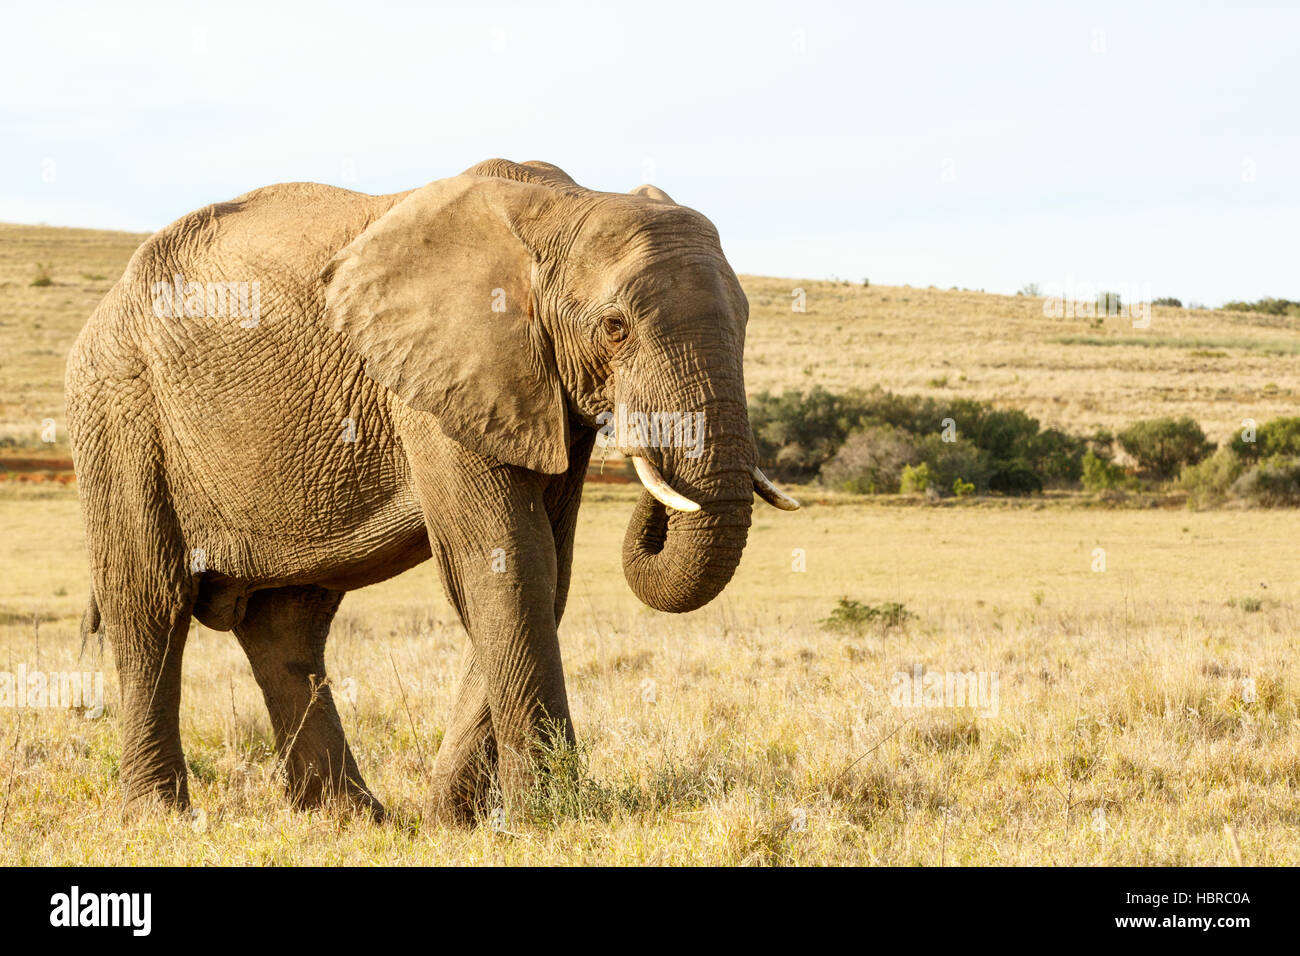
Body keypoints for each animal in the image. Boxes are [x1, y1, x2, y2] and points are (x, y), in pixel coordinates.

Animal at [65, 158, 799, 823]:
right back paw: (160, 818)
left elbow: (543, 571)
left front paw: (458, 817)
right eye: (615, 326)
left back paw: (351, 818)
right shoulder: (440, 376)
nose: (648, 451)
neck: (565, 206)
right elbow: (506, 559)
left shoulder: (535, 385)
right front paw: (550, 814)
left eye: (746, 321)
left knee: (287, 623)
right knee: (150, 605)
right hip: (119, 407)